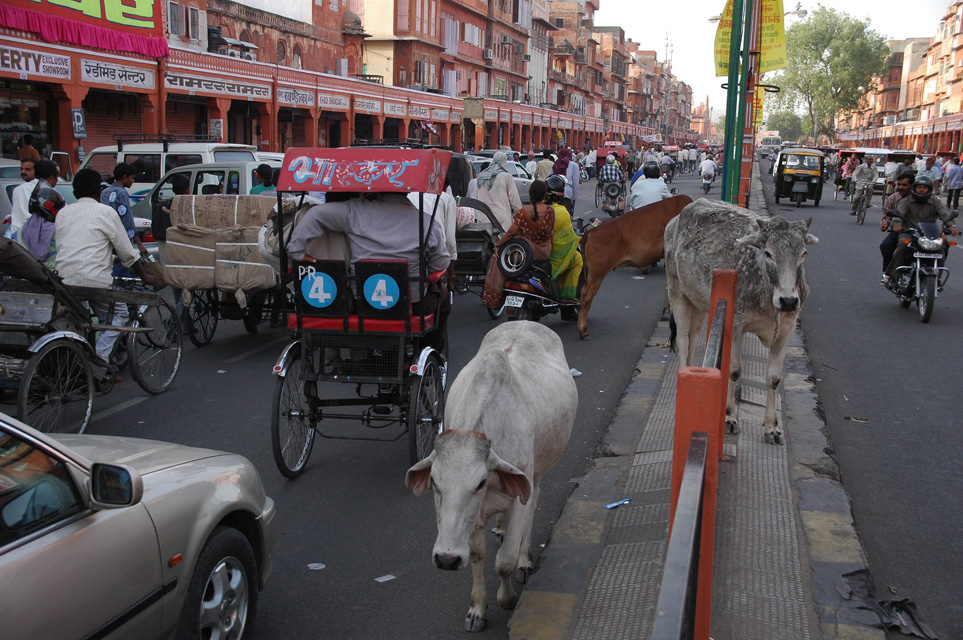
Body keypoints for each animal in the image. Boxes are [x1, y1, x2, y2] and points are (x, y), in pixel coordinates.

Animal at [404, 322, 576, 632]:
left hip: (537, 472)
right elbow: (477, 554)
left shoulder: (518, 495)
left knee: (534, 504)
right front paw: (477, 610)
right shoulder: (474, 517)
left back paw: (525, 560)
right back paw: (501, 529)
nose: (446, 558)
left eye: (480, 483)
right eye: (434, 482)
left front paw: (507, 597)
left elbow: (504, 562)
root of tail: (528, 322)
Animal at [668, 201, 816, 444]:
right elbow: (735, 370)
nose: (788, 300)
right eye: (768, 253)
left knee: (693, 338)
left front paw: (772, 427)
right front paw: (729, 416)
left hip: (699, 304)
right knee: (683, 341)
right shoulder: (737, 326)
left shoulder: (786, 330)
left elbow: (774, 378)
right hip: (677, 292)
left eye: (803, 253)